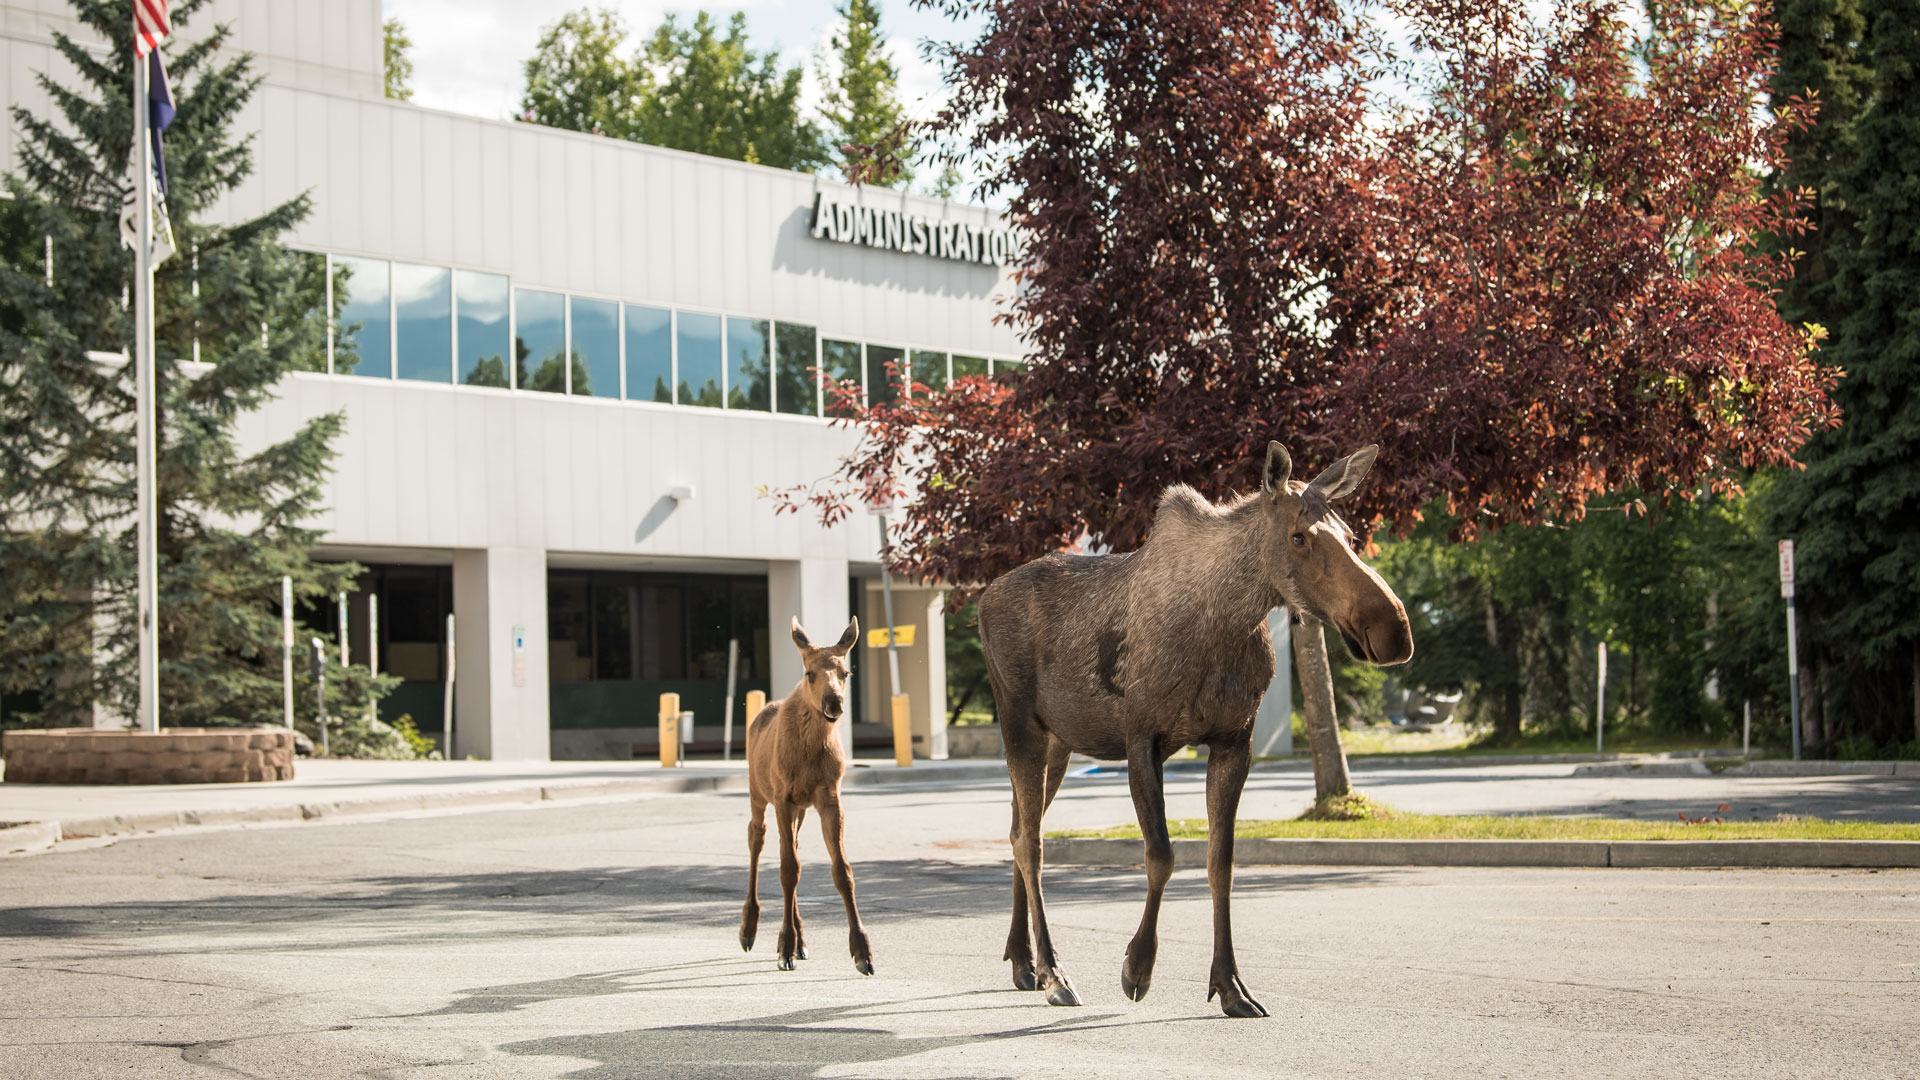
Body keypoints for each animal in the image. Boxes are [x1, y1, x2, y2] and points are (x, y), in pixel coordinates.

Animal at [741, 614, 879, 976]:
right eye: (809, 673)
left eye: (845, 673)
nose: (834, 703)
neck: (810, 752)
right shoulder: (783, 796)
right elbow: (788, 870)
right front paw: (785, 948)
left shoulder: (828, 796)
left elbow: (841, 871)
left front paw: (862, 952)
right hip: (759, 792)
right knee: (757, 840)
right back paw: (749, 929)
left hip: (800, 808)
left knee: (792, 847)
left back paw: (799, 940)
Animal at [975, 438, 1413, 1006]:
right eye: (1298, 536)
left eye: (1353, 536)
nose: (1393, 629)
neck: (1226, 620)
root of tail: (981, 600)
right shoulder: (1142, 738)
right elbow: (1161, 855)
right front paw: (1137, 967)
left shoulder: (1234, 739)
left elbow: (1220, 862)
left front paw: (1230, 985)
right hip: (1019, 724)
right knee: (1031, 842)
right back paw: (1054, 972)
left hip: (1059, 743)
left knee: (1016, 830)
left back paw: (1022, 960)